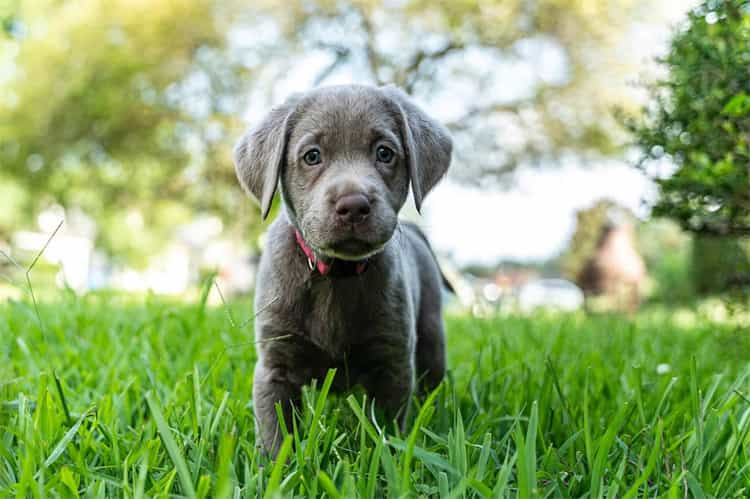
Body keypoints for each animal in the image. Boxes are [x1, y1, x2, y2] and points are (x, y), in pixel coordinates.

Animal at [234, 84, 452, 456]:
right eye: (312, 156)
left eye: (384, 153)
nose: (353, 205)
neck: (335, 274)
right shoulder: (275, 366)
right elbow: (277, 432)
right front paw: (276, 466)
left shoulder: (393, 363)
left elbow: (385, 431)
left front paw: (385, 460)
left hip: (431, 333)